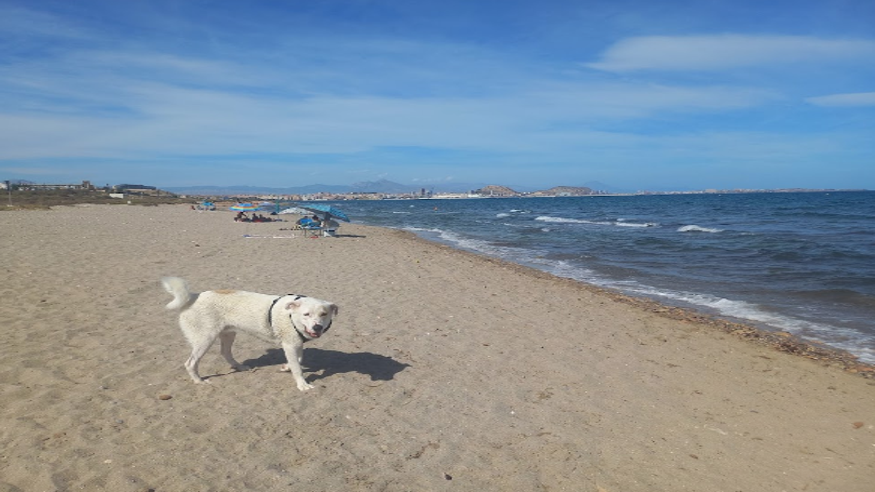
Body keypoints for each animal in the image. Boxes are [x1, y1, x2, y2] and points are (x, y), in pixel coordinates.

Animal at [163, 278, 340, 390]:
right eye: (306, 314)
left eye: (324, 314)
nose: (317, 327)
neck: (291, 315)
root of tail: (193, 297)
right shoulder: (290, 345)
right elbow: (297, 368)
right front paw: (302, 385)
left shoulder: (296, 343)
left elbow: (298, 360)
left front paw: (286, 367)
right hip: (205, 339)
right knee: (190, 363)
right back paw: (199, 381)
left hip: (228, 334)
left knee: (225, 352)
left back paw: (239, 366)